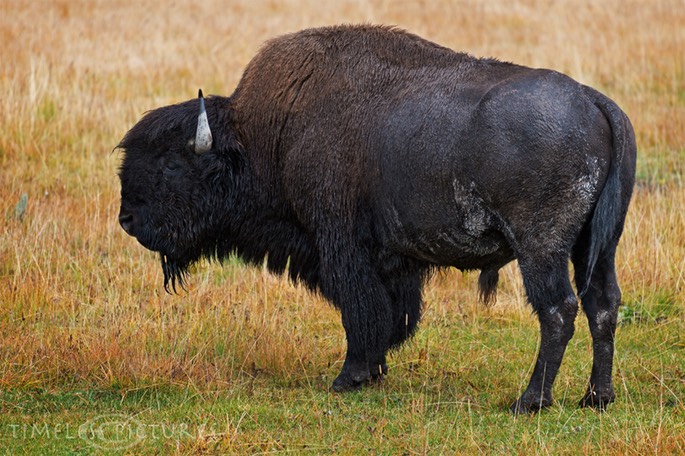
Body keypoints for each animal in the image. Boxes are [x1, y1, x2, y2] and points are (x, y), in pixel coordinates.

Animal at [117, 25, 636, 413]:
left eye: (171, 164)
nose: (127, 219)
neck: (265, 139)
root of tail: (595, 102)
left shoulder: (341, 246)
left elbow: (362, 310)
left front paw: (350, 377)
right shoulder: (392, 259)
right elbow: (391, 312)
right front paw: (376, 370)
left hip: (541, 249)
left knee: (558, 310)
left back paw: (529, 401)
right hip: (598, 247)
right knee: (602, 305)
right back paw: (596, 397)